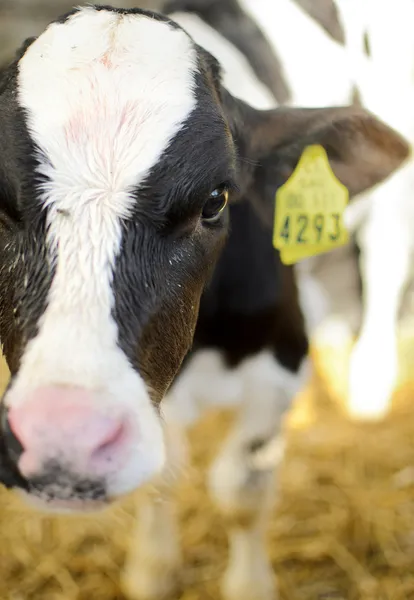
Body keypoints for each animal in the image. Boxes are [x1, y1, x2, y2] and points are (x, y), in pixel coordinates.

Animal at [0, 4, 408, 600]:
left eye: (215, 200)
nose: (65, 438)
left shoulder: (281, 369)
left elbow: (242, 492)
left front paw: (249, 585)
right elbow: (165, 476)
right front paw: (152, 569)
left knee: (384, 258)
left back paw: (370, 385)